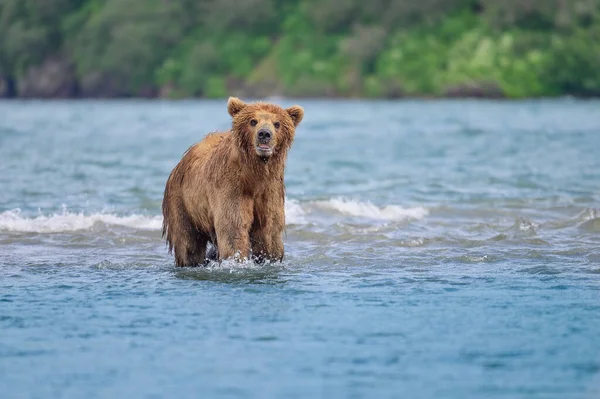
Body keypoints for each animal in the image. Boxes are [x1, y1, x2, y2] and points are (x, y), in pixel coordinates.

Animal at [162, 96, 304, 266]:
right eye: (253, 121)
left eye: (277, 123)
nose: (264, 134)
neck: (254, 176)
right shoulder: (231, 187)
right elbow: (233, 228)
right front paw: (236, 260)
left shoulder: (270, 190)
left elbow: (269, 230)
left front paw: (269, 258)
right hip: (182, 201)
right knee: (188, 242)